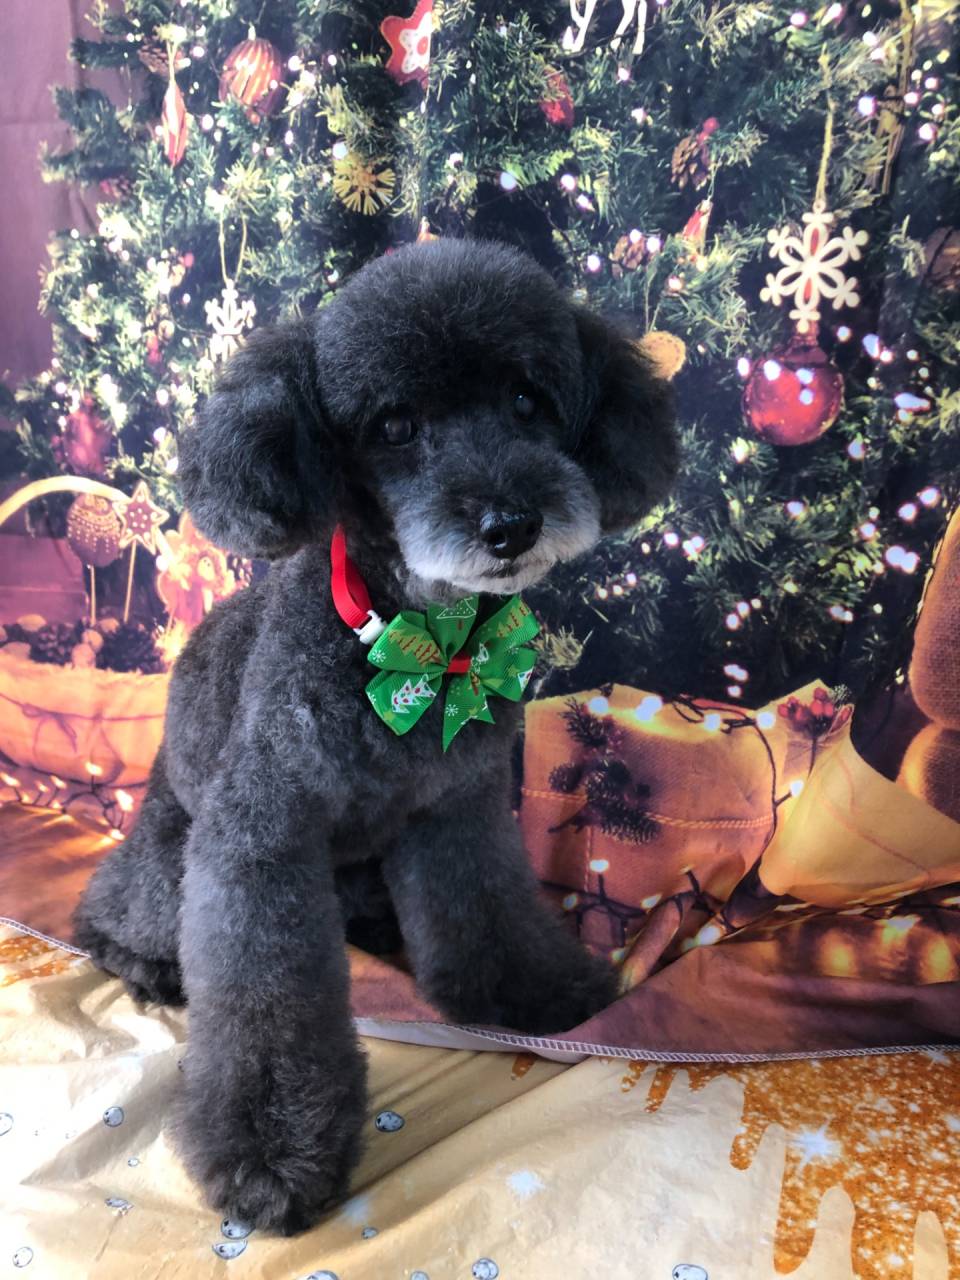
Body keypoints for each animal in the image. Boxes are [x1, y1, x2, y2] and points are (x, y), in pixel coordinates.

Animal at [72, 238, 677, 1234]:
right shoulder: (259, 840)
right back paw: (146, 965)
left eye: (526, 401)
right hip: (169, 861)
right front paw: (271, 1155)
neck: (421, 644)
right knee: (105, 913)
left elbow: (485, 912)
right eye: (394, 425)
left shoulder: (458, 808)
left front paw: (536, 992)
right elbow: (266, 996)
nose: (511, 523)